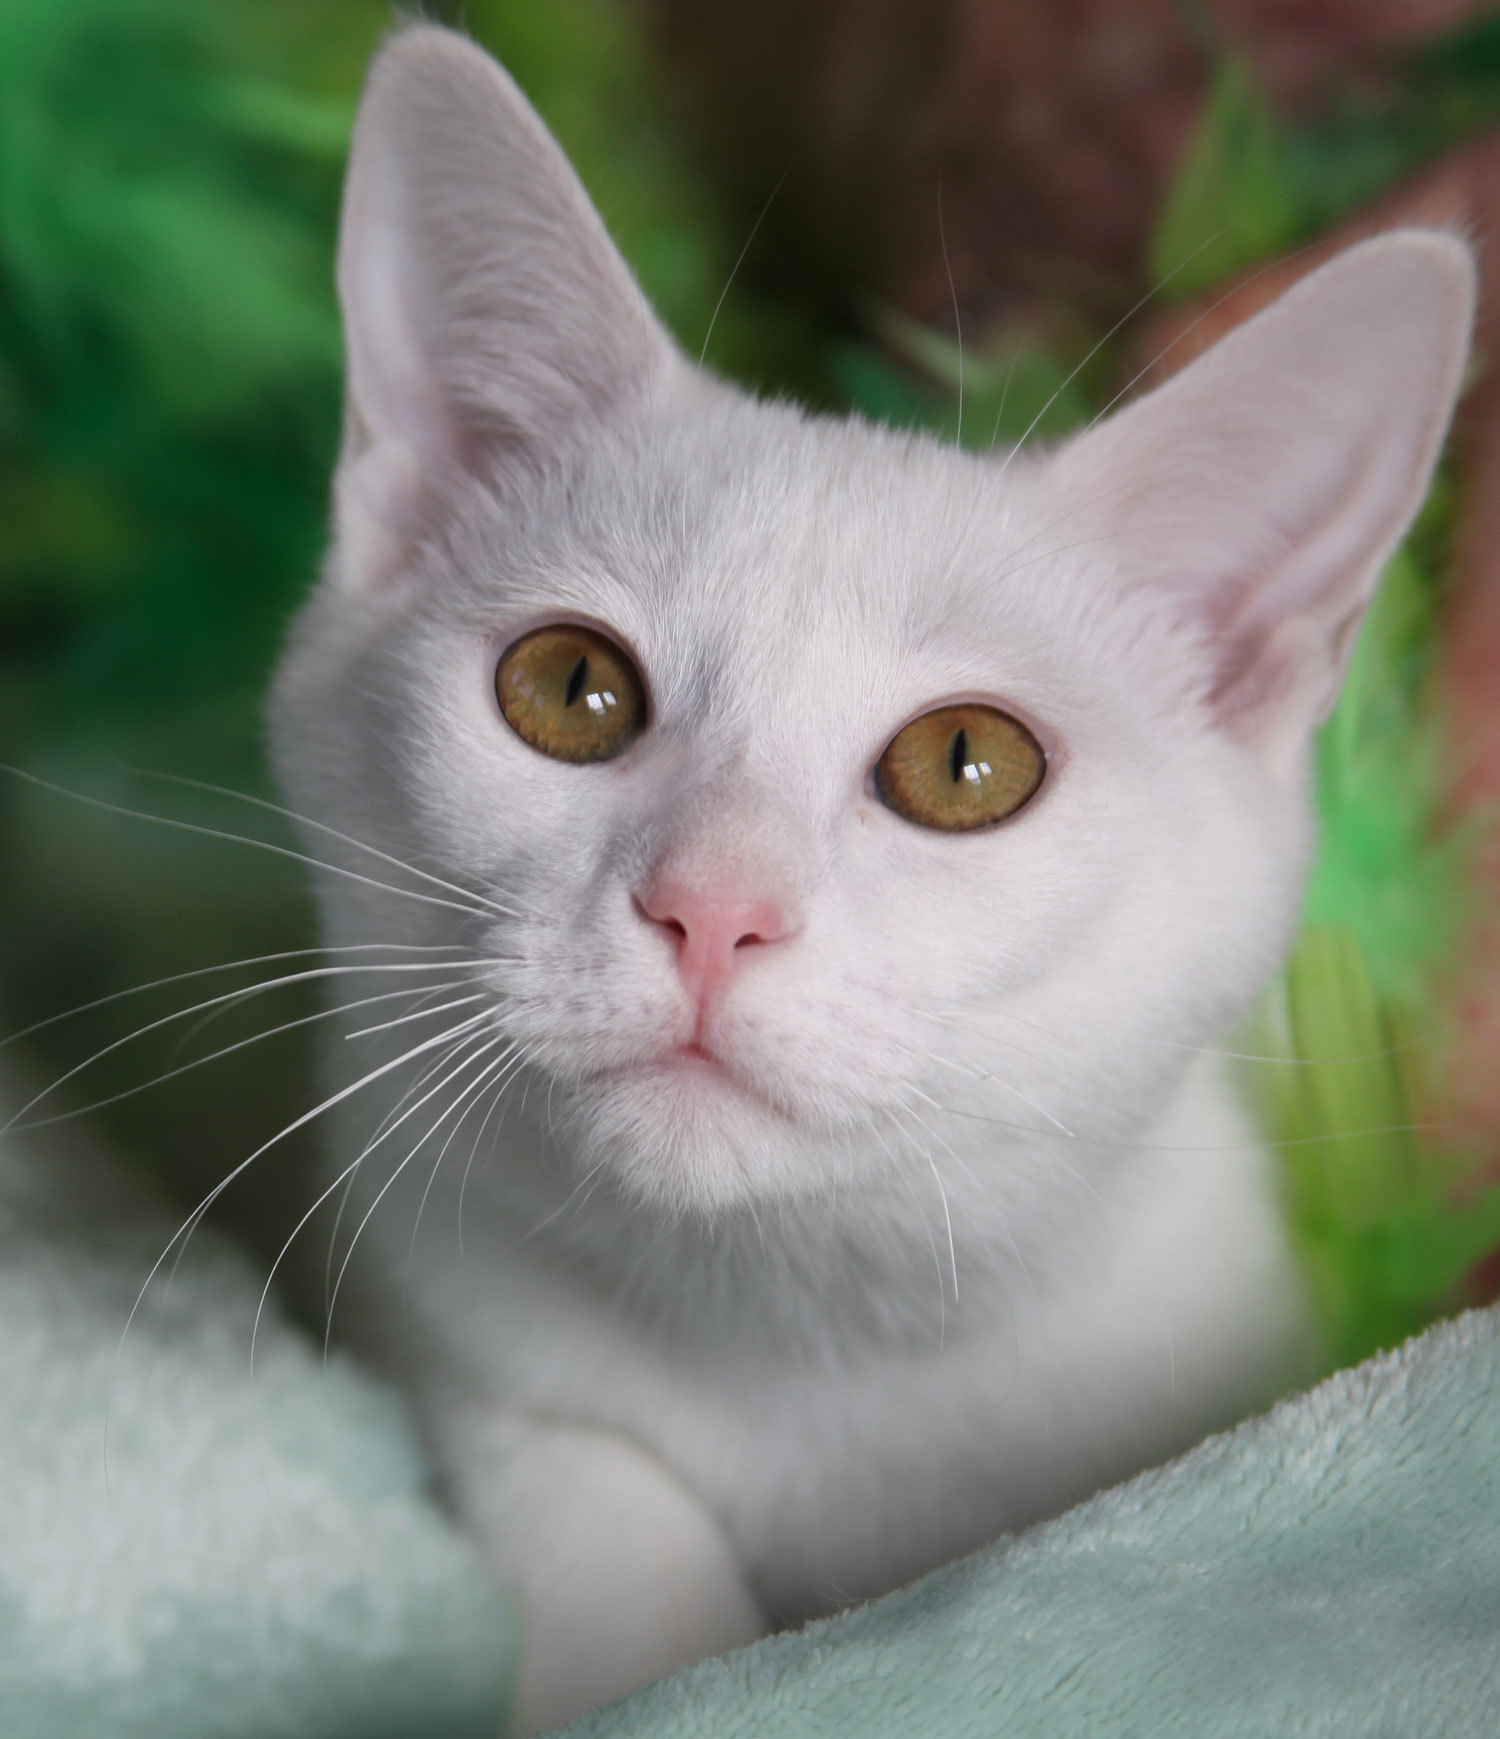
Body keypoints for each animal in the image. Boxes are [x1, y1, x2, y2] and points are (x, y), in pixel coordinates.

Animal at [269, 20, 1480, 1732]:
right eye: (569, 687)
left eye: (966, 762)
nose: (714, 906)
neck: (805, 1332)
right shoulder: (447, 1317)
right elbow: (591, 1516)